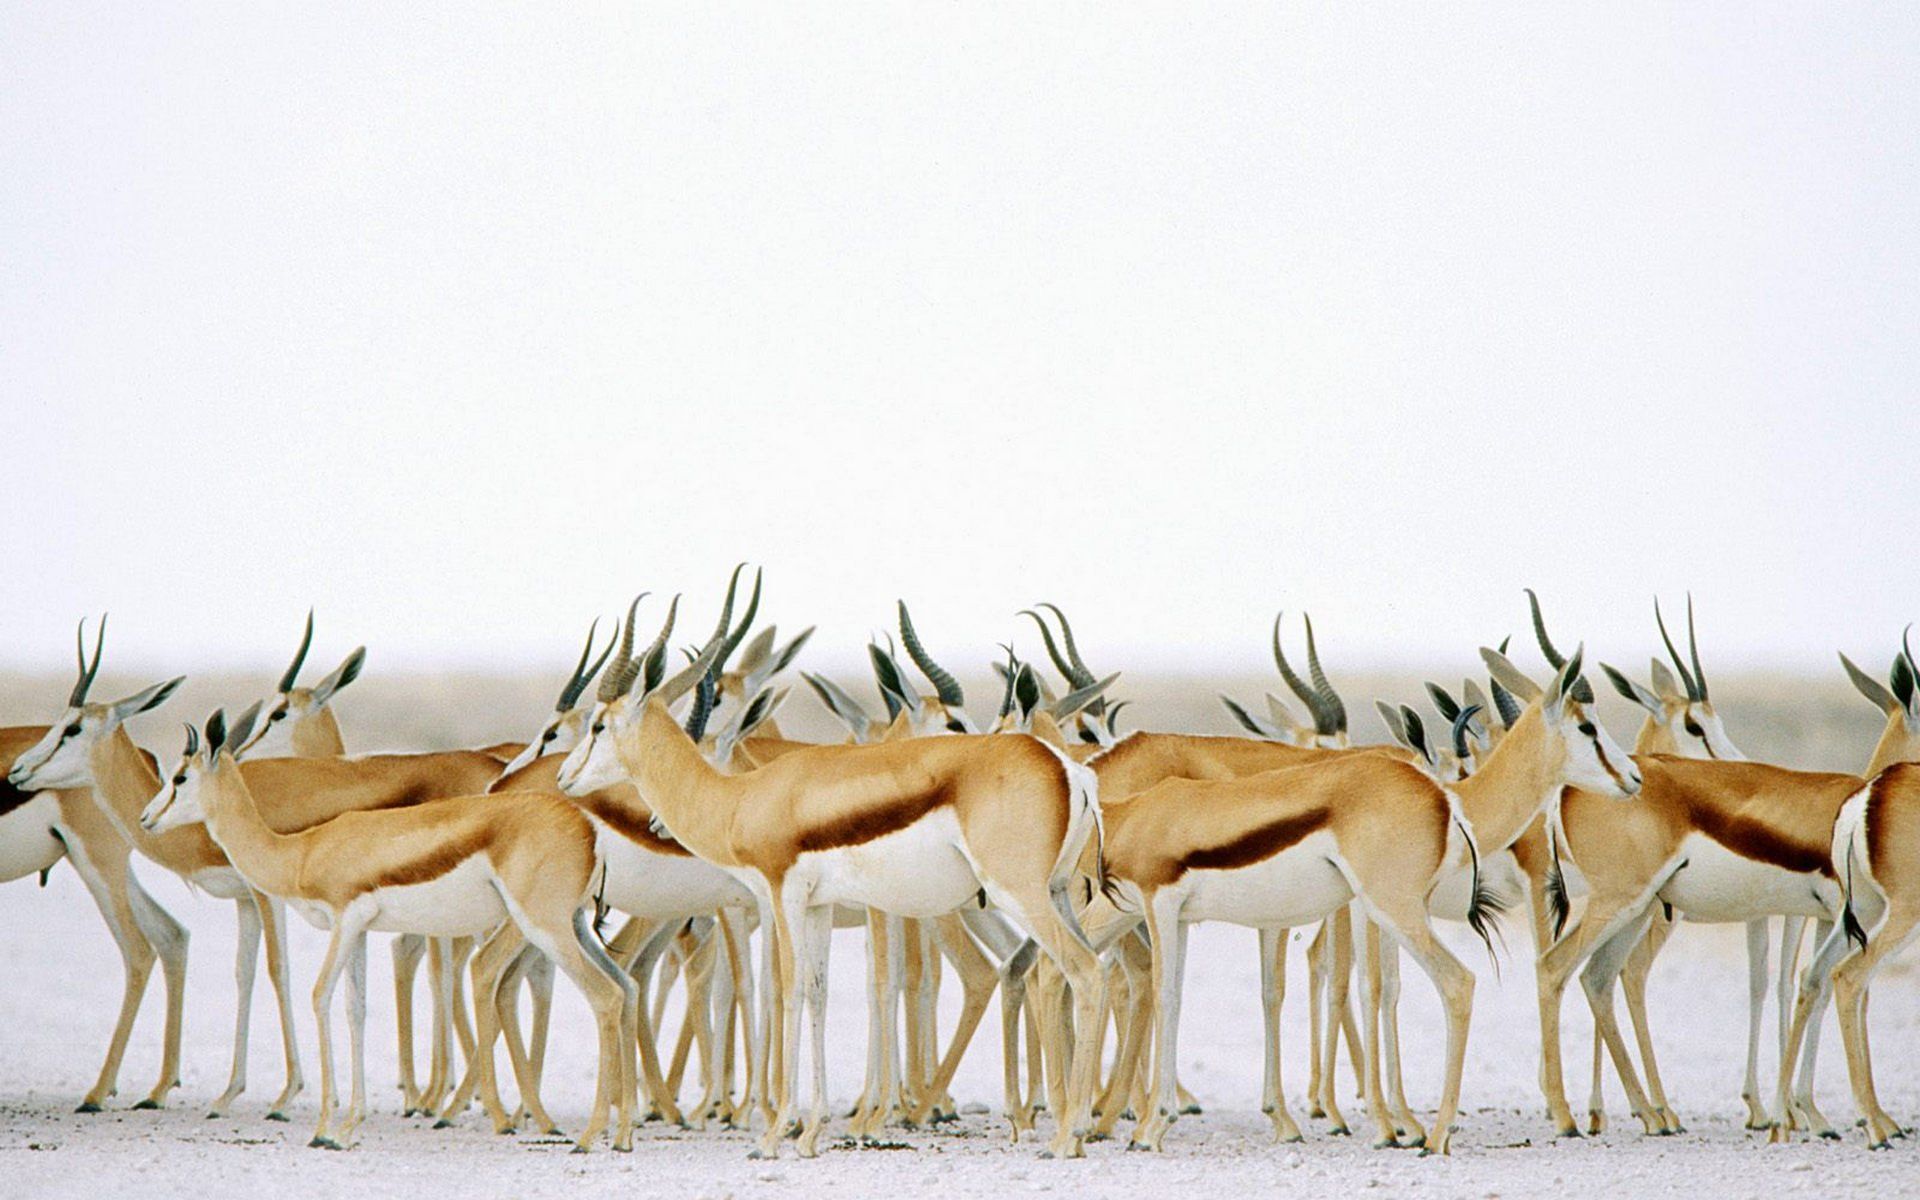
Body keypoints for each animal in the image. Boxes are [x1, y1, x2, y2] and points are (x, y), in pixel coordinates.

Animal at [559, 595, 1111, 1160]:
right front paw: (811, 1131)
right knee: (1071, 972)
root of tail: (1068, 770)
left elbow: (788, 990)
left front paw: (775, 1133)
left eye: (598, 725)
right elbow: (818, 991)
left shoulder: (782, 893)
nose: (563, 778)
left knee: (1084, 970)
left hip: (1019, 895)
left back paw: (1065, 1134)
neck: (742, 797)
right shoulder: (819, 905)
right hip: (1058, 894)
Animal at [1103, 645, 1639, 1154]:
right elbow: (1364, 987)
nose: (1634, 777)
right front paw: (1387, 1124)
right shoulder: (1366, 907)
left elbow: (1368, 987)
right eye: (1587, 725)